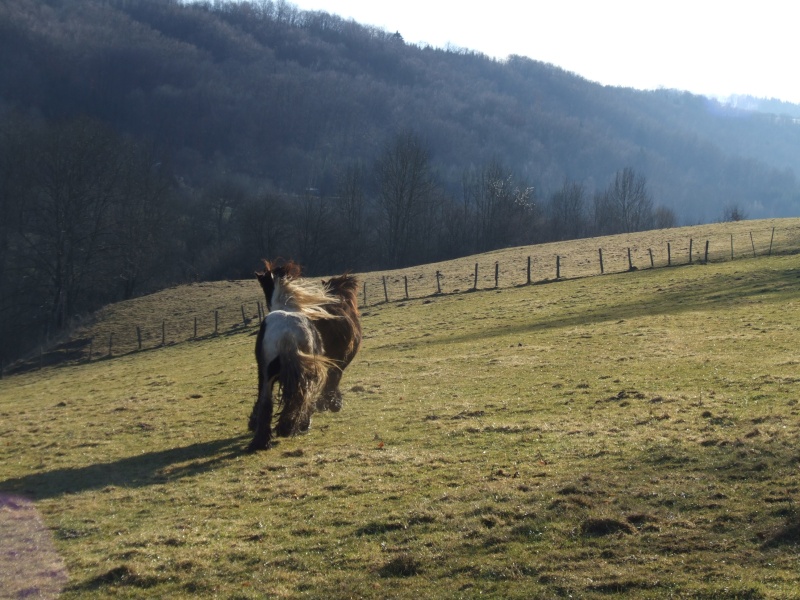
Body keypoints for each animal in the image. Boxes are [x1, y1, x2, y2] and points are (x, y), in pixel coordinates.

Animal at [248, 258, 340, 450]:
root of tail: (287, 334)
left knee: (269, 401)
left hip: (267, 374)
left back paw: (267, 437)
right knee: (299, 396)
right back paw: (286, 429)